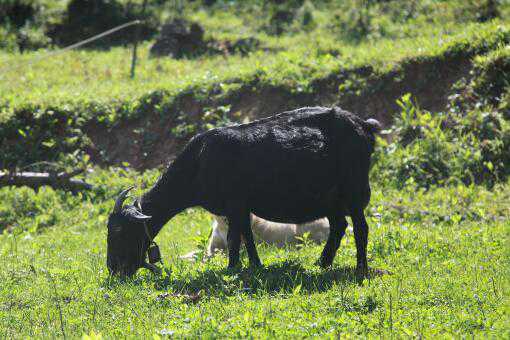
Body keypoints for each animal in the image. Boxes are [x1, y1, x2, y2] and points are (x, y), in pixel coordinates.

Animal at [106, 106, 378, 276]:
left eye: (119, 230)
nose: (113, 269)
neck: (199, 161)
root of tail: (365, 126)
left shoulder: (235, 203)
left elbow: (234, 238)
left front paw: (232, 268)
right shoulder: (238, 207)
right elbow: (245, 235)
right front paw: (253, 266)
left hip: (353, 188)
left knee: (360, 228)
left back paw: (360, 268)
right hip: (330, 197)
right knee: (339, 226)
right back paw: (322, 263)